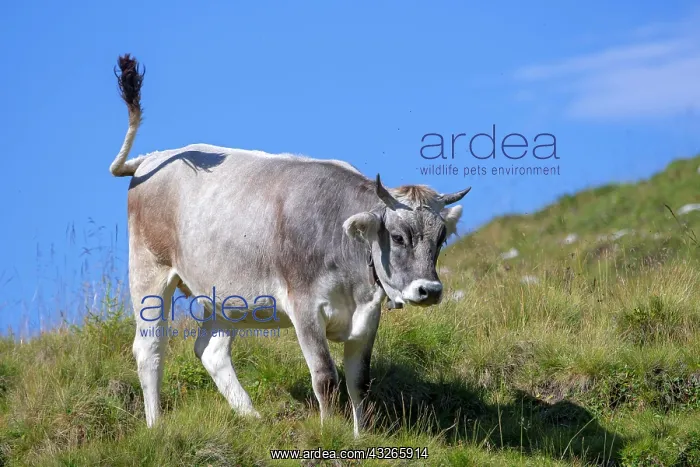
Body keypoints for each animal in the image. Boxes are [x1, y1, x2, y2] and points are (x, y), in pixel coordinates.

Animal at [109, 54, 471, 438]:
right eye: (399, 236)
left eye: (441, 238)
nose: (429, 290)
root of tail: (156, 156)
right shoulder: (305, 307)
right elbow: (326, 378)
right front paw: (330, 434)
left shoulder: (367, 316)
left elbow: (360, 381)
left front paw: (361, 436)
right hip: (149, 271)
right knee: (150, 348)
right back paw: (156, 425)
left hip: (225, 294)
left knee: (211, 350)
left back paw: (252, 417)